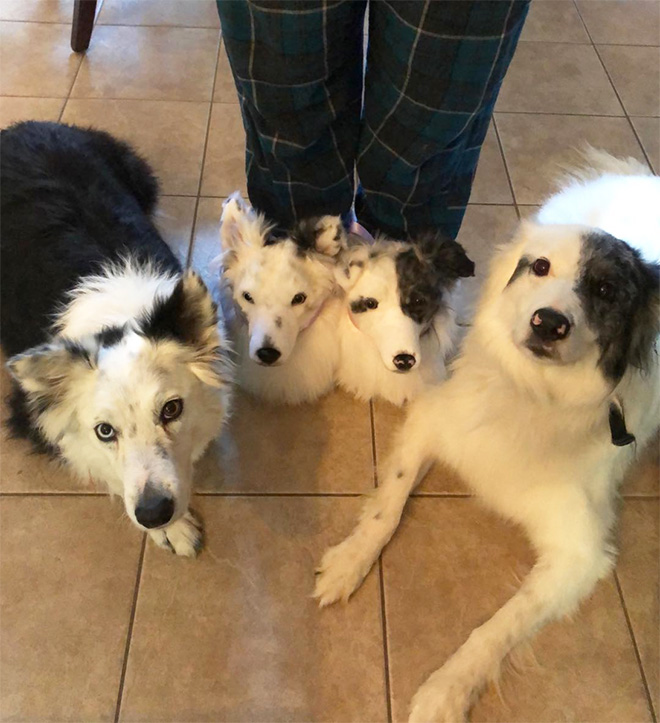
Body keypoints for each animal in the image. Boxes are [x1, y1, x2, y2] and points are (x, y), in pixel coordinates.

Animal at [0, 121, 232, 556]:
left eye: (171, 409)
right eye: (104, 431)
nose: (154, 513)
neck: (120, 319)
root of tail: (23, 127)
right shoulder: (35, 416)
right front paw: (172, 529)